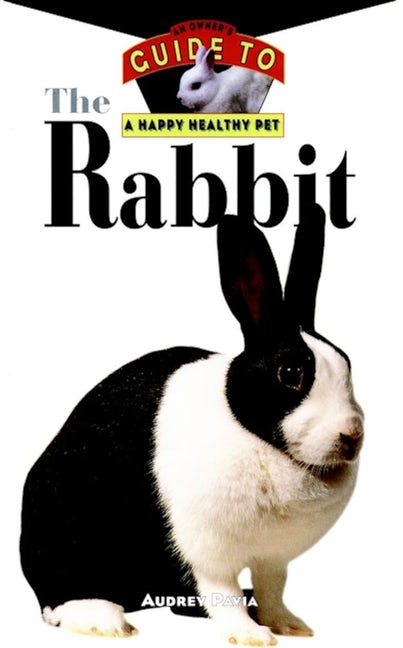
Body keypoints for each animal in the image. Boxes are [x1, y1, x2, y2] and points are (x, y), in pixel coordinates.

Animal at [20, 212, 364, 646]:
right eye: (290, 373)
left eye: (348, 364)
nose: (352, 436)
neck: (262, 442)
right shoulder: (209, 554)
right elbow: (223, 593)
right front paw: (251, 635)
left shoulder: (273, 557)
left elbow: (273, 588)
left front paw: (288, 625)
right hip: (66, 536)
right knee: (58, 597)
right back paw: (104, 620)